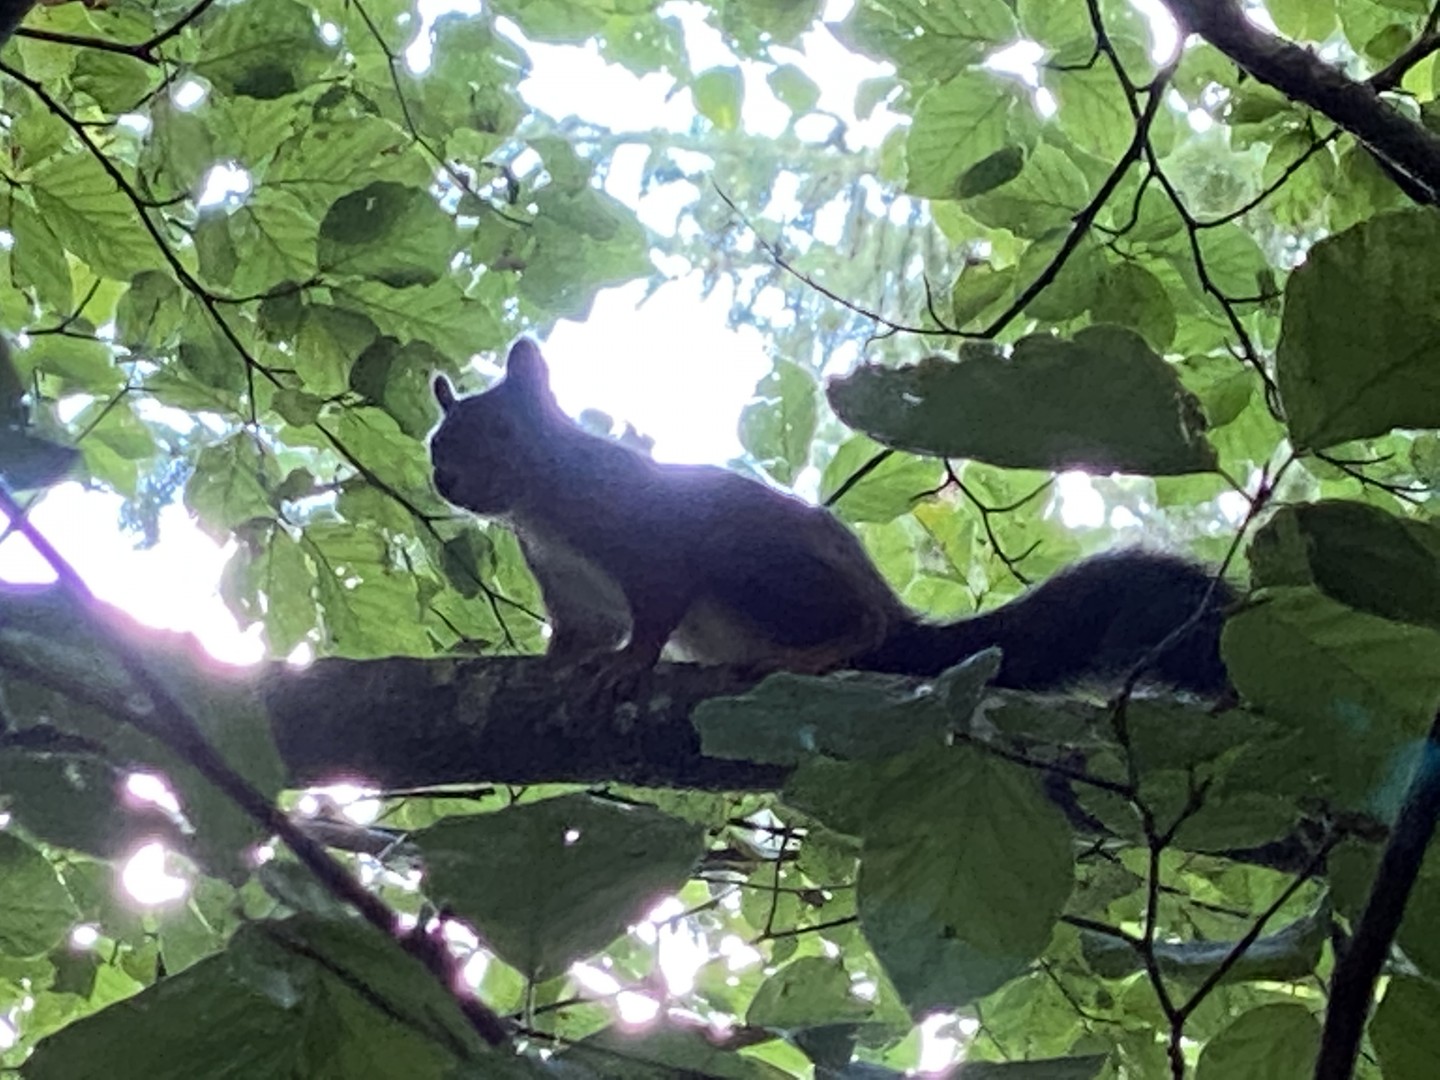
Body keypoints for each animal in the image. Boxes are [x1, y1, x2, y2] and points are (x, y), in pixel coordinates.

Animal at [423, 338, 1226, 694]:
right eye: (436, 441)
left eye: (499, 431)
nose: (444, 477)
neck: (543, 506)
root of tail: (899, 622)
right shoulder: (570, 588)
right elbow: (580, 634)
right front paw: (548, 664)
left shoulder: (645, 534)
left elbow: (654, 608)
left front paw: (630, 663)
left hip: (757, 565)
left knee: (858, 627)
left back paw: (813, 652)